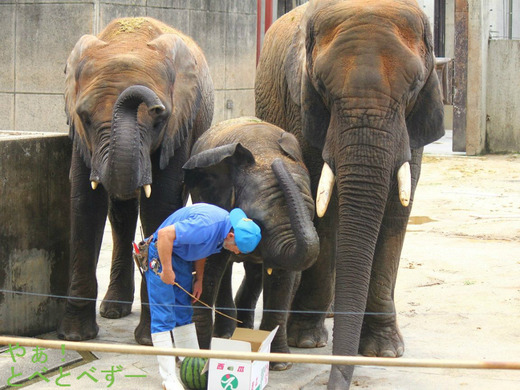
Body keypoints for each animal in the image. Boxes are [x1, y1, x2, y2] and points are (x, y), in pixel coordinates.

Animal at [60, 16, 214, 344]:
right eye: (85, 117)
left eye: (159, 118)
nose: (155, 104)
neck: (128, 42)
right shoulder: (79, 137)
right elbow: (85, 203)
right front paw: (75, 337)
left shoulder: (178, 126)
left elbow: (160, 205)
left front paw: (150, 340)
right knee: (120, 214)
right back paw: (112, 310)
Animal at [183, 117, 320, 370]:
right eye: (256, 221)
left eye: (311, 213)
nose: (279, 162)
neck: (263, 150)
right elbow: (210, 268)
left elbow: (281, 278)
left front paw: (279, 365)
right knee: (226, 270)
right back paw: (227, 335)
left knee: (255, 270)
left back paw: (241, 330)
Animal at [254, 1, 444, 388]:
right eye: (323, 89)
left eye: (413, 87)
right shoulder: (303, 108)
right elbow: (323, 208)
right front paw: (306, 340)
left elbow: (398, 208)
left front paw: (384, 350)